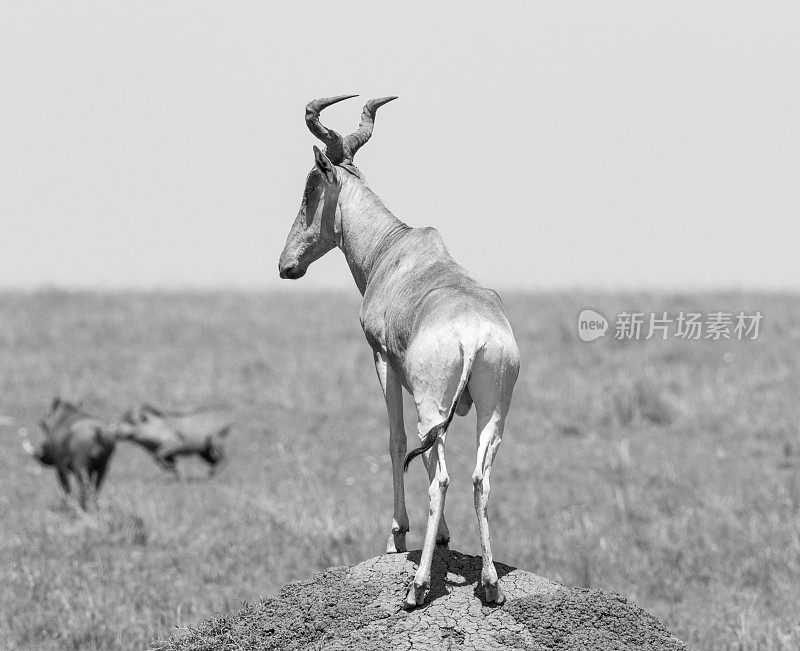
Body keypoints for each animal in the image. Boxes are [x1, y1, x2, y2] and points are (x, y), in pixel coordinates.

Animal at [278, 94, 520, 608]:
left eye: (309, 191)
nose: (286, 265)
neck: (395, 249)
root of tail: (473, 333)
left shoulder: (384, 361)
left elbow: (396, 441)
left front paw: (396, 536)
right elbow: (425, 457)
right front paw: (445, 537)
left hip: (432, 402)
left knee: (443, 475)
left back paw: (418, 587)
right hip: (494, 407)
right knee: (479, 477)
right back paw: (490, 585)